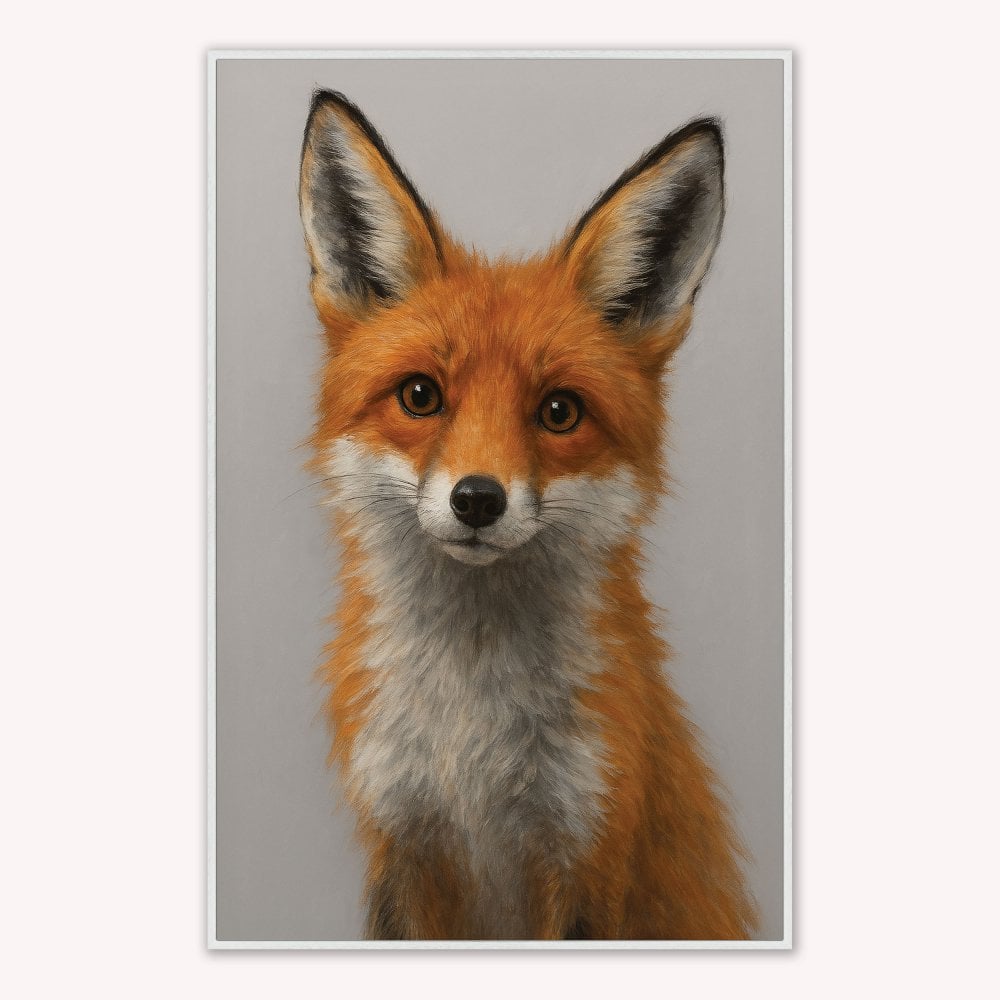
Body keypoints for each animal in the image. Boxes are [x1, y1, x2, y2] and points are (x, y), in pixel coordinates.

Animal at [298, 89, 758, 941]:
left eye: (559, 411)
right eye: (420, 396)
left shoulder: (587, 851)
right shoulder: (402, 839)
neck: (470, 740)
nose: (478, 499)